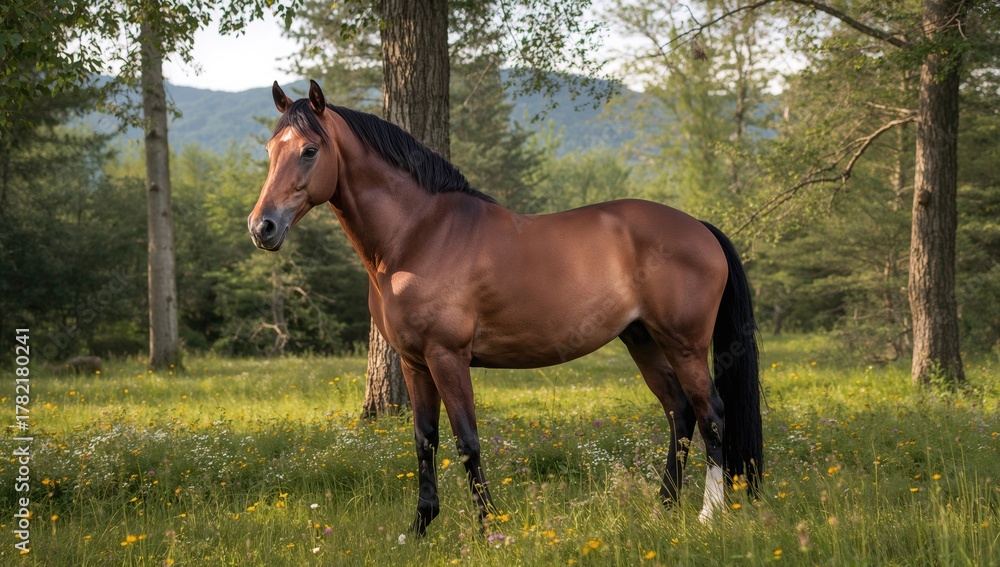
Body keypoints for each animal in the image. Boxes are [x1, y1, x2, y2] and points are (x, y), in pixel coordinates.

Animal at [249, 80, 763, 535]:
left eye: (309, 150)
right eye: (272, 149)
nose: (262, 227)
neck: (417, 236)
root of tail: (698, 226)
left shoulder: (447, 357)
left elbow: (466, 441)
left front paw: (489, 526)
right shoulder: (414, 363)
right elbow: (424, 439)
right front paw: (419, 527)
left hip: (684, 343)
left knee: (711, 413)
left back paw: (708, 514)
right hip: (642, 339)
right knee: (679, 412)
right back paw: (663, 508)